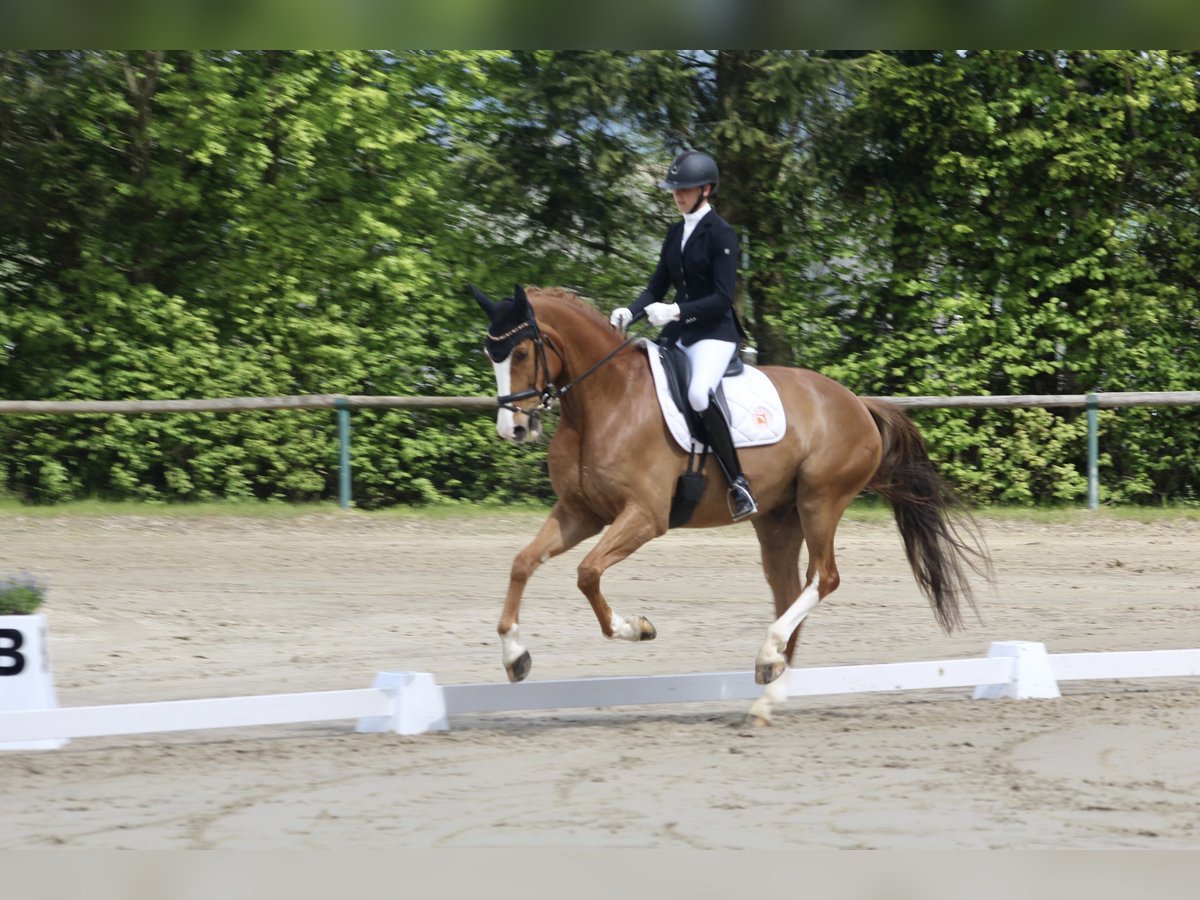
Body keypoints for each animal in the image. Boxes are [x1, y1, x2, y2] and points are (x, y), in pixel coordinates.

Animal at [468, 283, 984, 724]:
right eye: (491, 354)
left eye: (521, 352)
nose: (513, 429)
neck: (605, 400)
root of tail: (857, 402)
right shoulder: (580, 514)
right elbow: (522, 563)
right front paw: (516, 658)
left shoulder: (645, 517)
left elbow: (587, 573)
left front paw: (637, 628)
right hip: (777, 520)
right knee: (789, 591)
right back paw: (768, 691)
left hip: (820, 500)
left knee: (823, 578)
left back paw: (768, 658)